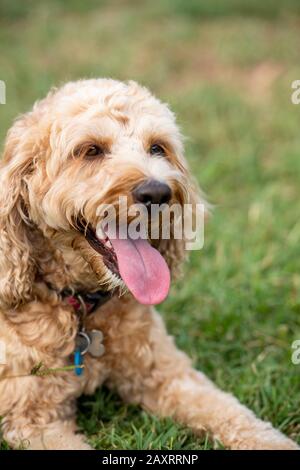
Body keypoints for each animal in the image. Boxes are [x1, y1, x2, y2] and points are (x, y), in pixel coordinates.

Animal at [0, 79, 296, 450]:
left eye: (157, 147)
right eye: (90, 150)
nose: (157, 192)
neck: (84, 307)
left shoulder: (169, 374)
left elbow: (234, 414)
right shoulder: (34, 420)